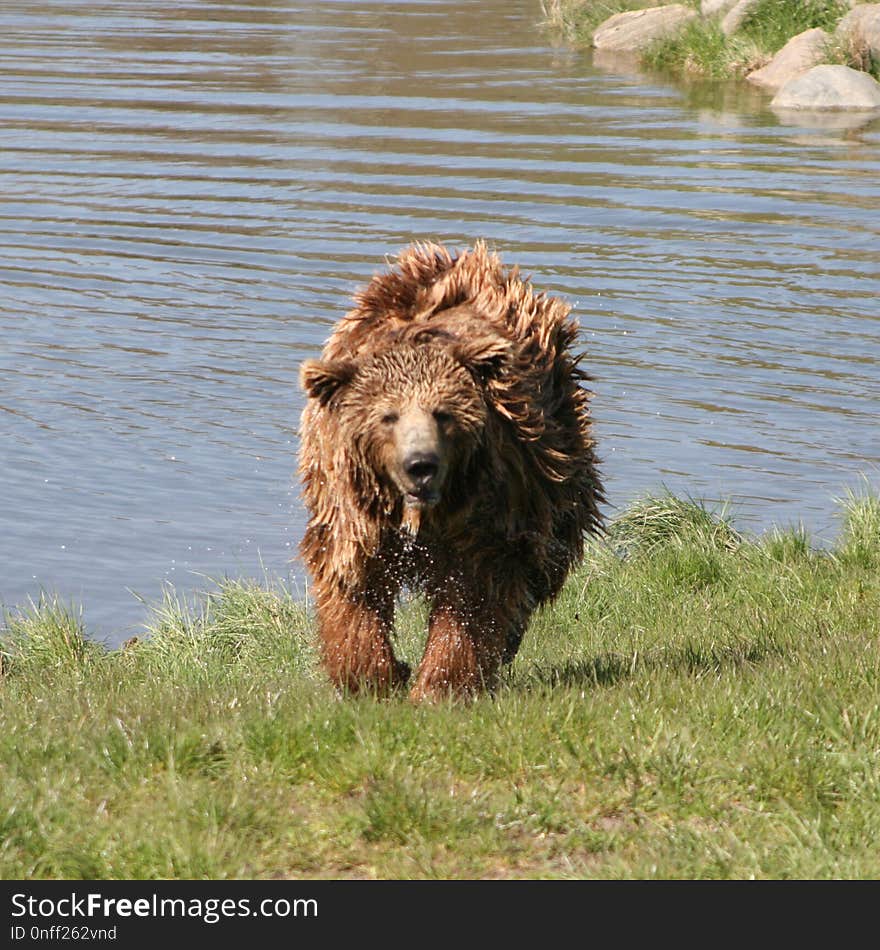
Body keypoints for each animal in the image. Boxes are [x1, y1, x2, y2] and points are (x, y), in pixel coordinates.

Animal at [300, 242, 600, 704]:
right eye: (388, 416)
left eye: (443, 413)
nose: (421, 465)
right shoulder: (352, 502)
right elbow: (353, 577)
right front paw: (373, 676)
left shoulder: (493, 503)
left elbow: (472, 595)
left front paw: (437, 685)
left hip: (556, 457)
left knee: (546, 554)